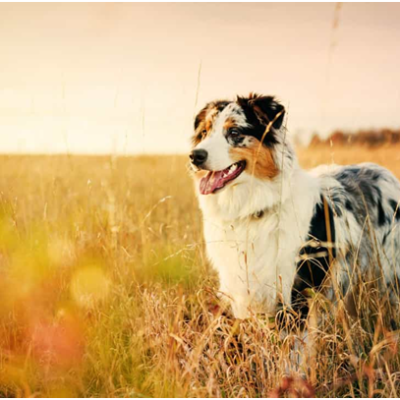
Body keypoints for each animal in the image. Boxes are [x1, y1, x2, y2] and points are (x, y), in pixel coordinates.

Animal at [189, 93, 400, 322]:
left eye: (234, 131)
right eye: (204, 133)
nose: (195, 156)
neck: (254, 208)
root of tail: (386, 172)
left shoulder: (296, 288)